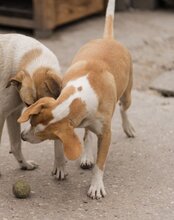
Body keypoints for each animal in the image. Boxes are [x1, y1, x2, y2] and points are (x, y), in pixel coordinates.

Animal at [18, 0, 136, 199]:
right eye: (32, 122)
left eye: (43, 135)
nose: (22, 136)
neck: (79, 96)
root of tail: (108, 39)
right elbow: (60, 147)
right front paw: (59, 166)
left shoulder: (106, 134)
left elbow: (100, 164)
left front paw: (96, 185)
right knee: (88, 133)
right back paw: (87, 155)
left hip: (127, 94)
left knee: (123, 108)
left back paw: (128, 127)